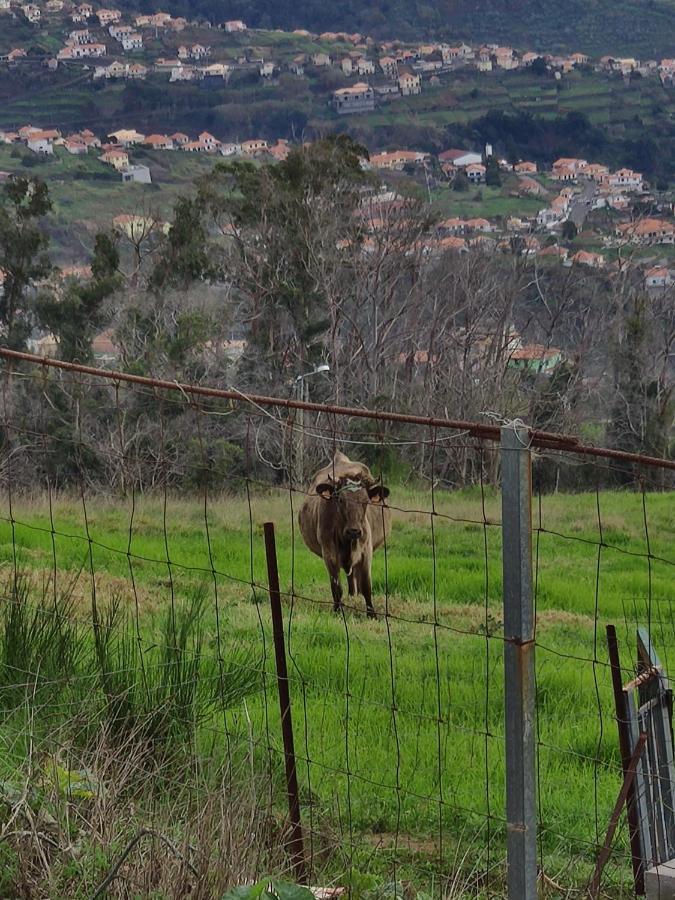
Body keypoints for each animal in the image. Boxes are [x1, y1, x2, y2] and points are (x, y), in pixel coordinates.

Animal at [300, 450, 394, 620]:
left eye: (365, 501)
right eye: (340, 499)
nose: (354, 531)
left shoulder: (366, 552)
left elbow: (366, 585)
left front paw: (372, 614)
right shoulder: (329, 552)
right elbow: (336, 586)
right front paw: (338, 610)